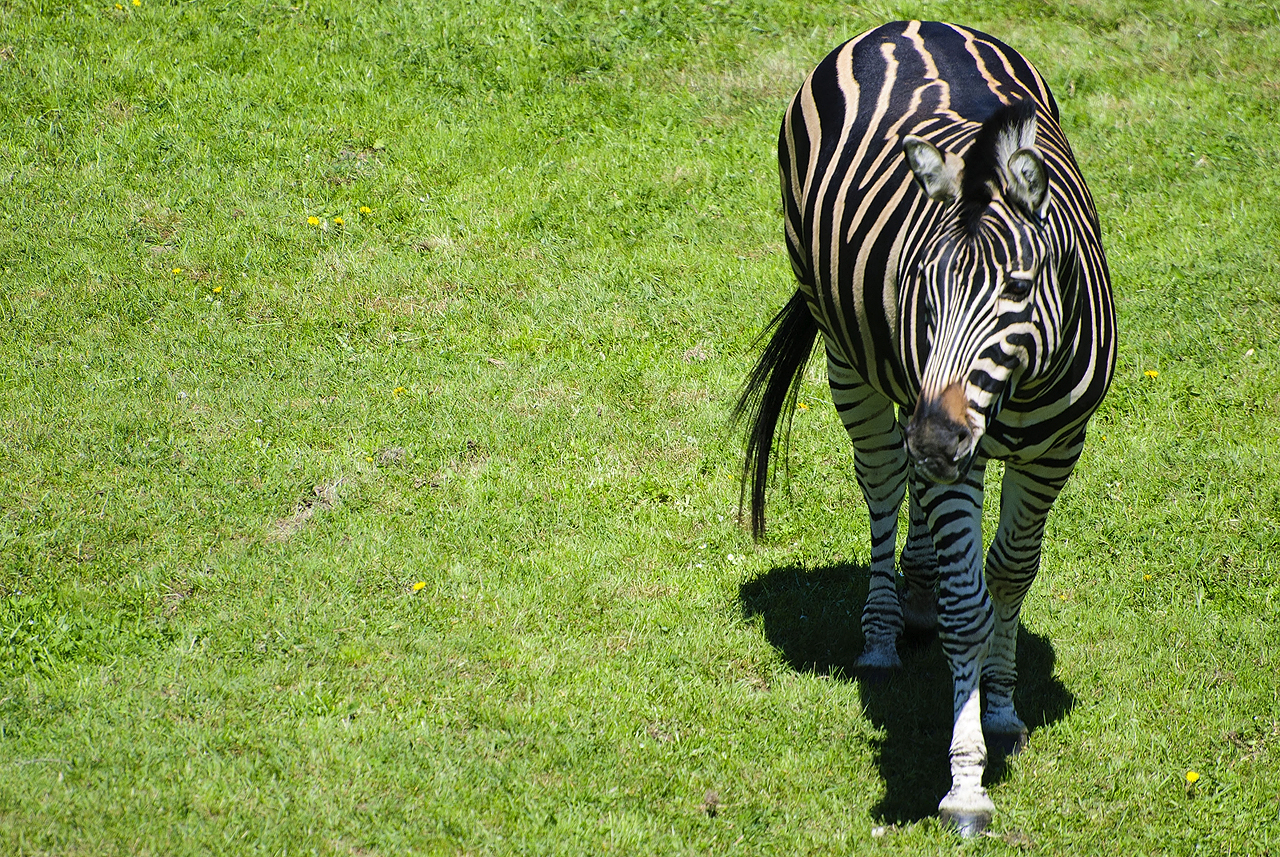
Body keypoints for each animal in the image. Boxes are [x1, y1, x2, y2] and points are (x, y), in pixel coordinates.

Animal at [737, 20, 1116, 839]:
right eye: (925, 283)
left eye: (1018, 287)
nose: (938, 440)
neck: (1019, 386)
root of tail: (908, 25)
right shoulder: (954, 447)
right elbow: (967, 606)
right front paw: (966, 785)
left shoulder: (1055, 450)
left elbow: (1010, 574)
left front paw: (1001, 708)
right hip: (847, 352)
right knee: (883, 477)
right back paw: (883, 631)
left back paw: (916, 590)